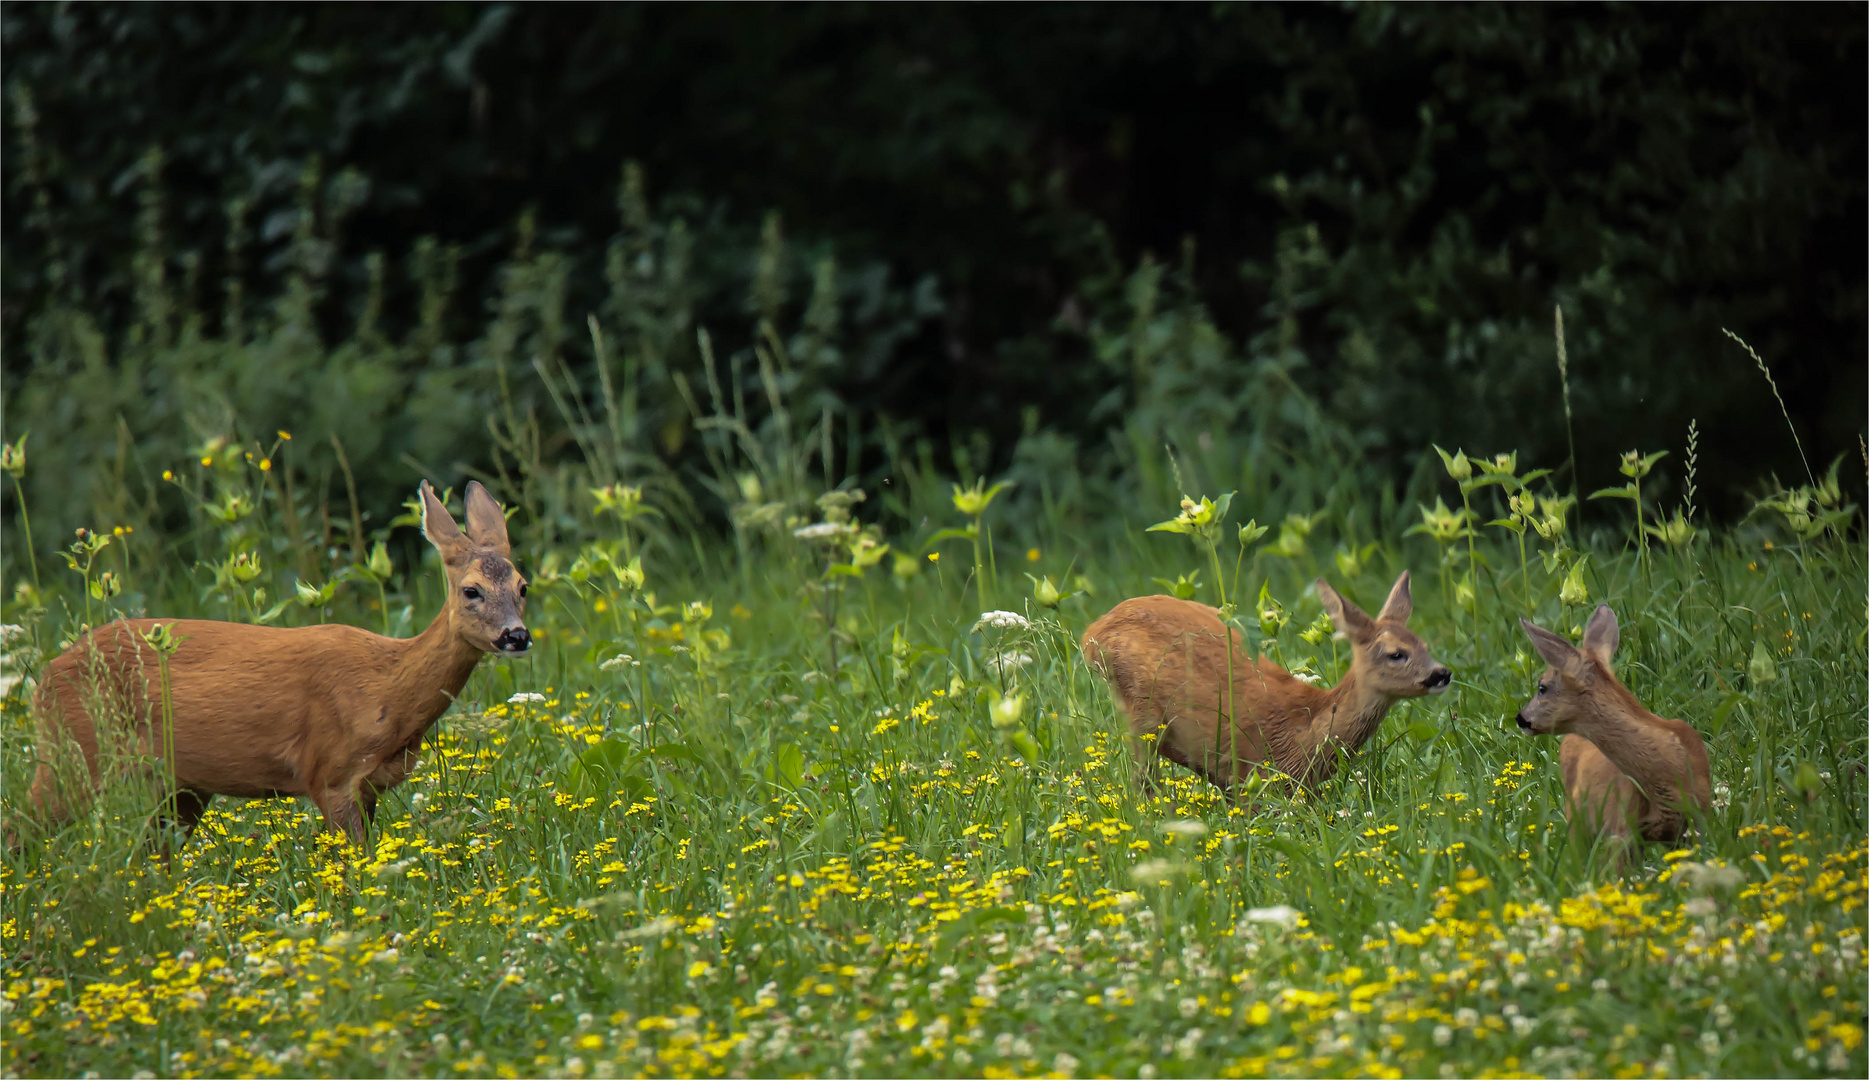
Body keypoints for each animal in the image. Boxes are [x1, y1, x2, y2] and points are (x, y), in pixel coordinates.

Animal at [25, 482, 530, 848]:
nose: (517, 636)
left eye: (523, 586)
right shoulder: (328, 770)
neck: (387, 688)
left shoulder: (369, 786)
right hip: (76, 751)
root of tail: (44, 677)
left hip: (180, 785)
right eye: (471, 590)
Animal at [1076, 571, 1450, 792]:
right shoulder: (1249, 772)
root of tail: (1092, 632)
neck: (1303, 732)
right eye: (1396, 653)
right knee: (1142, 781)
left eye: (1424, 645)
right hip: (1142, 710)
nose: (1442, 673)